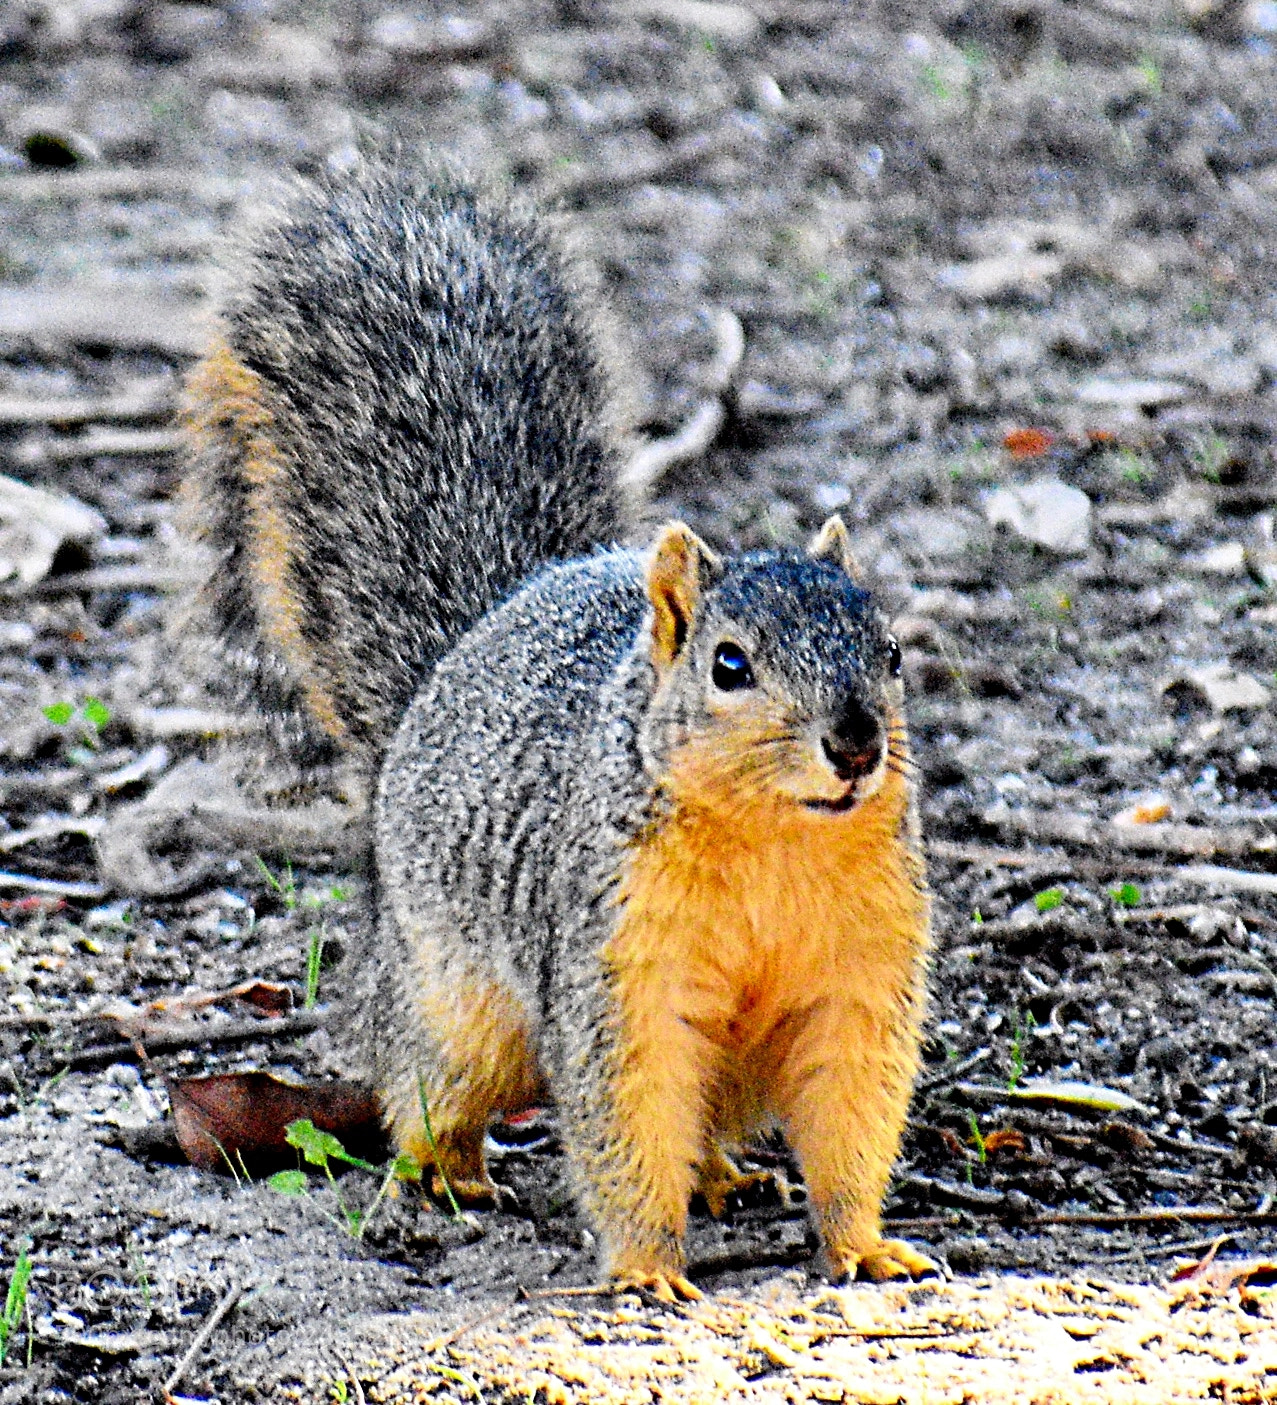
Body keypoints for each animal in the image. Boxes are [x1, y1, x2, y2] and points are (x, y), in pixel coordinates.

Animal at [181, 158, 935, 1300]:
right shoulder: (612, 965)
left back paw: (724, 1175)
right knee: (427, 1084)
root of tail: (455, 656)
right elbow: (627, 1114)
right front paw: (644, 1267)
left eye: (888, 650)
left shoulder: (859, 970)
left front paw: (861, 1242)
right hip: (454, 997)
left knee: (704, 1129)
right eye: (729, 665)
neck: (774, 842)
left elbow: (849, 1111)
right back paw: (443, 1173)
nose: (854, 746)